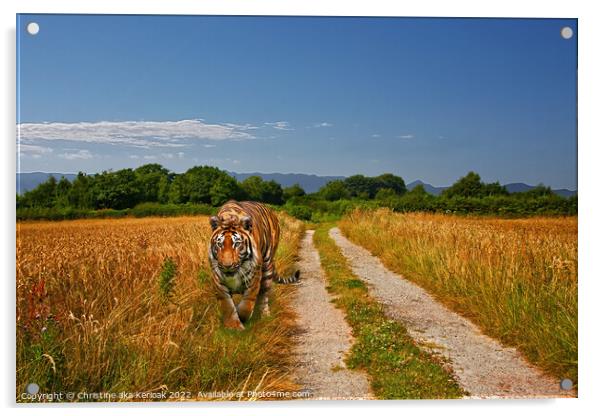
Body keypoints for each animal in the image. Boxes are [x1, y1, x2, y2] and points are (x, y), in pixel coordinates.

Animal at [207, 200, 298, 330]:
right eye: (220, 244)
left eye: (237, 244)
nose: (227, 265)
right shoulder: (218, 280)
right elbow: (227, 305)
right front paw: (233, 327)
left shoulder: (254, 276)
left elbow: (247, 303)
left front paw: (241, 317)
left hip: (267, 266)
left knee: (264, 295)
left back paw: (265, 315)